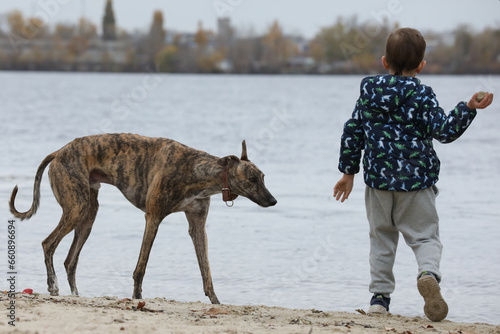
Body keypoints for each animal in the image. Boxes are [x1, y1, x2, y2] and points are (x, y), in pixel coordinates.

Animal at [8, 132, 278, 302]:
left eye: (263, 177)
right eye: (252, 179)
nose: (273, 201)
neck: (196, 171)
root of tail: (58, 151)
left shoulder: (197, 226)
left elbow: (206, 270)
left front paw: (215, 300)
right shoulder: (153, 217)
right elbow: (142, 265)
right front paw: (137, 297)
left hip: (88, 214)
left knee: (70, 260)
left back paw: (75, 294)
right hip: (76, 207)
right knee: (48, 244)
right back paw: (53, 286)